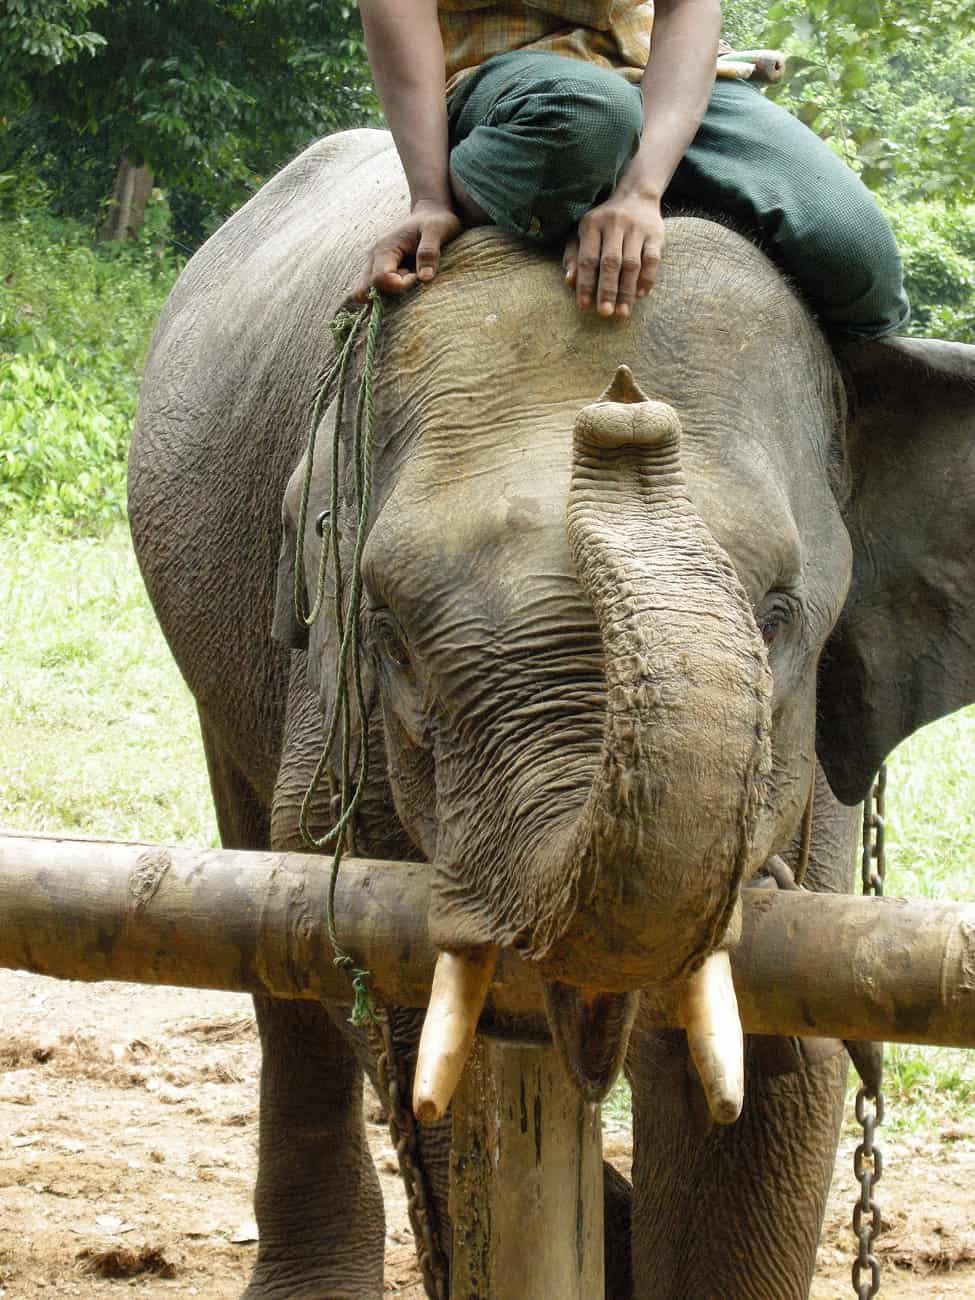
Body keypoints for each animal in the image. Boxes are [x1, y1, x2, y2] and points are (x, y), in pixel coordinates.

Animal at [128, 129, 975, 1300]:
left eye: (776, 617)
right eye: (389, 633)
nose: (623, 408)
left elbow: (772, 1061)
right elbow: (407, 995)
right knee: (267, 913)